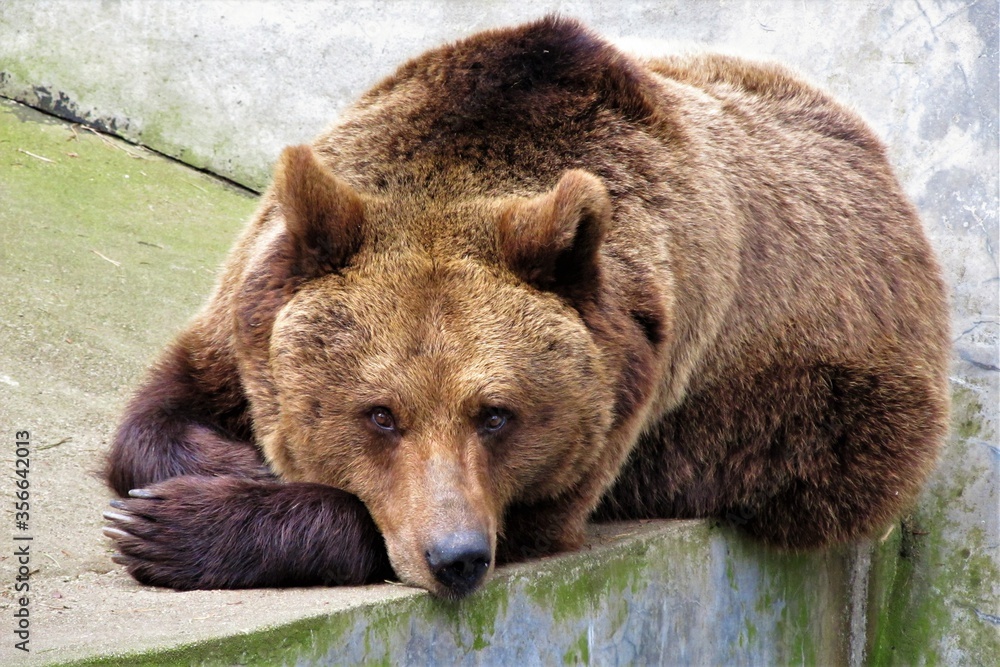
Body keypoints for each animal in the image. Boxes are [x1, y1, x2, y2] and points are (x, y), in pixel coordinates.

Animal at [103, 16, 950, 600]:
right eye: (379, 412)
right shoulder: (248, 300)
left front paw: (178, 526)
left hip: (829, 423)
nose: (456, 556)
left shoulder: (621, 390)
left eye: (496, 413)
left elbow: (514, 514)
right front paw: (213, 473)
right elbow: (156, 415)